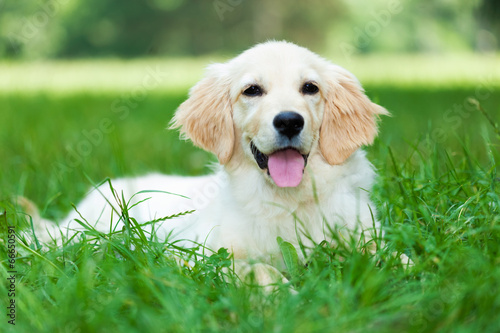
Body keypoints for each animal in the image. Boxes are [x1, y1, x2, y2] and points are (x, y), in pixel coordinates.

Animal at [33, 40, 388, 286]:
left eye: (310, 88)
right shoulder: (201, 253)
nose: (289, 121)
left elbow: (388, 255)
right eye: (252, 90)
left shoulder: (365, 234)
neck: (288, 200)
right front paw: (281, 296)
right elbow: (259, 269)